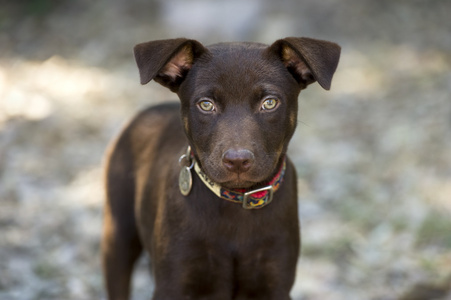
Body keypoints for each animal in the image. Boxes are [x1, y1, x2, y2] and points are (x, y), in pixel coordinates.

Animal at [102, 37, 340, 300]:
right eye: (206, 105)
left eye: (269, 103)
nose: (237, 161)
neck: (235, 202)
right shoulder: (173, 281)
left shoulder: (275, 282)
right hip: (118, 235)